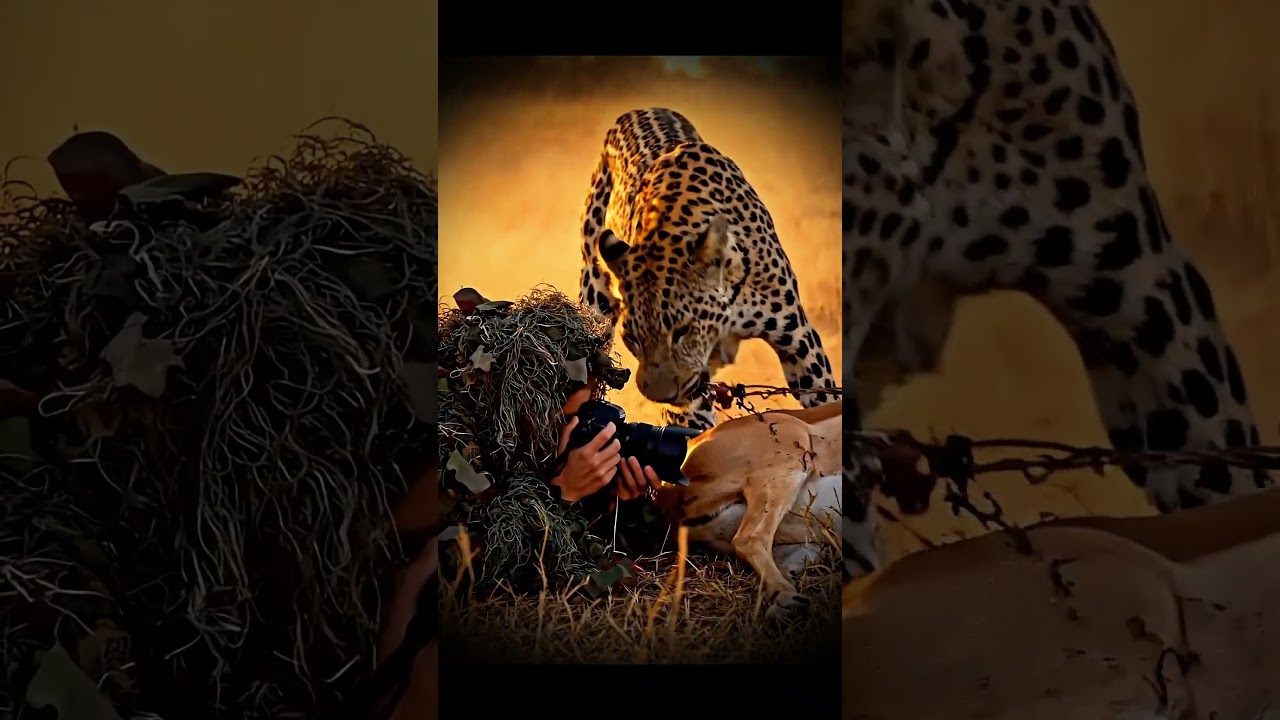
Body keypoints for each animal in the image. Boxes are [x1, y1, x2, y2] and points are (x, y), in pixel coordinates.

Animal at [578, 107, 838, 431]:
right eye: (633, 338)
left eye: (682, 330)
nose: (662, 395)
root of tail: (635, 111)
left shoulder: (799, 340)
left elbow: (824, 398)